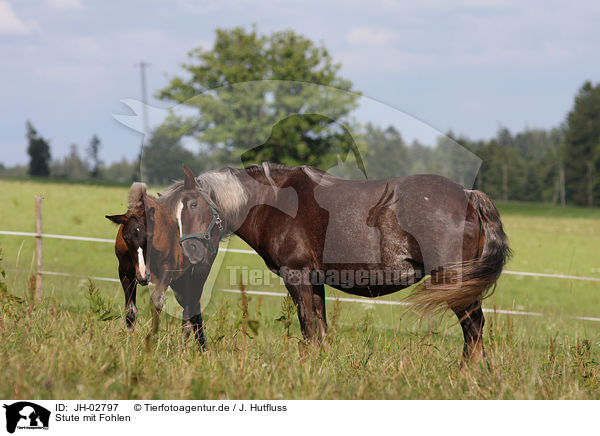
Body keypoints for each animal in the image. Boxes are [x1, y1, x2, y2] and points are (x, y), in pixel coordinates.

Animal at [166, 162, 508, 360]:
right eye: (175, 214)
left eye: (194, 205)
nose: (190, 252)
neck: (275, 202)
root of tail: (469, 195)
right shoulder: (316, 281)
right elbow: (320, 327)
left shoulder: (297, 276)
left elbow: (307, 324)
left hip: (456, 283)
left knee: (473, 328)